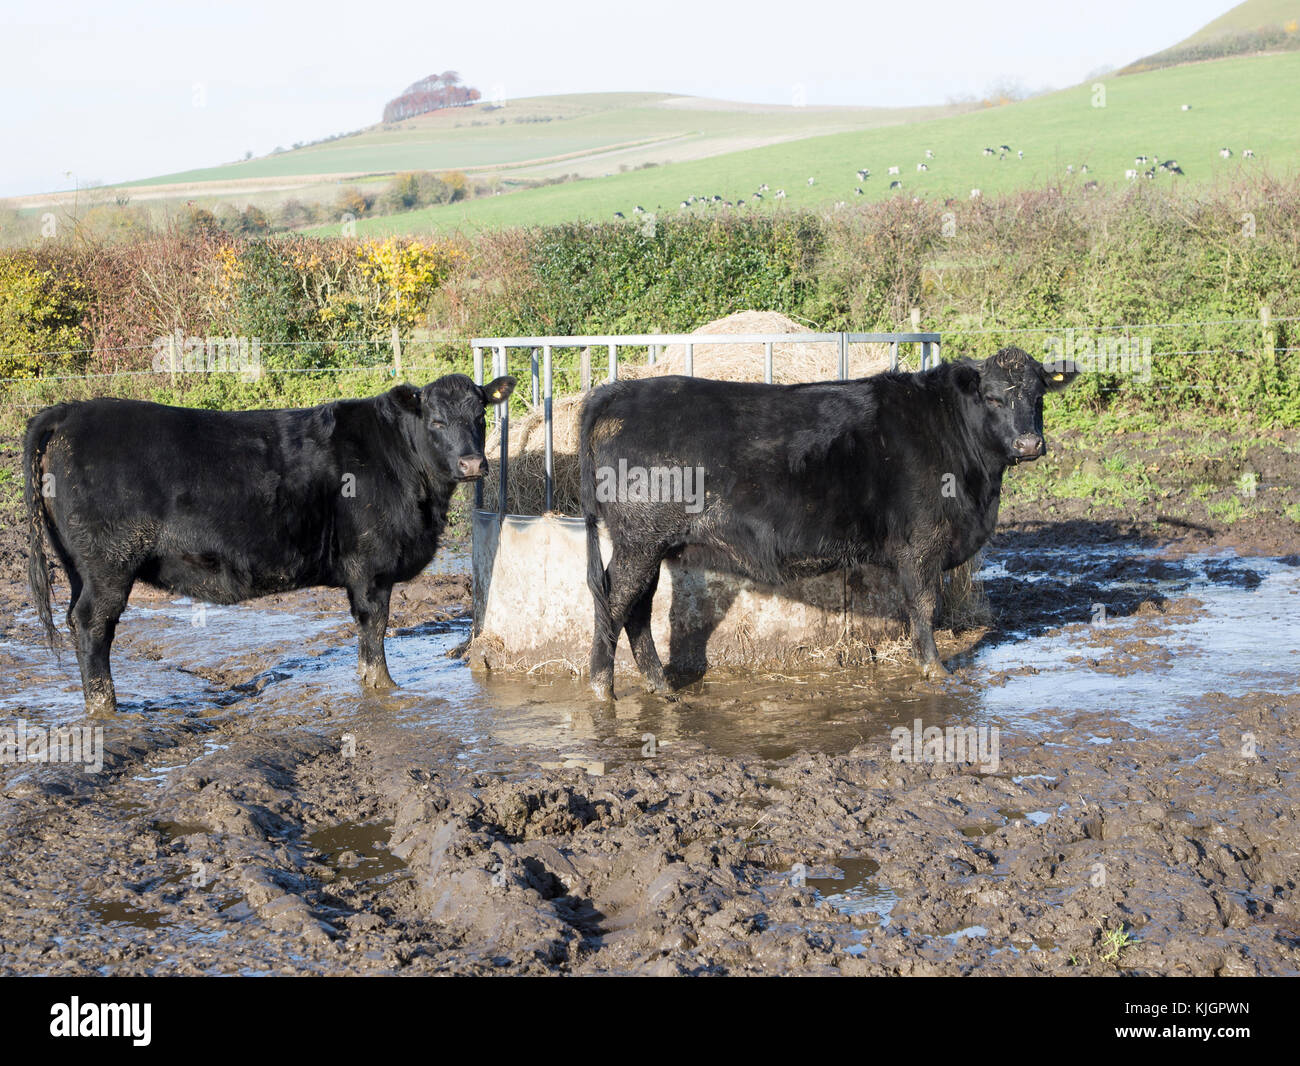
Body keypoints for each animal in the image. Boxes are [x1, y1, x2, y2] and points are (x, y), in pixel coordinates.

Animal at [25, 374, 512, 717]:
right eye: (436, 421)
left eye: (480, 417)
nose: (473, 463)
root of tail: (69, 411)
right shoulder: (370, 568)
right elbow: (374, 629)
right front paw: (384, 688)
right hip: (109, 564)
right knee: (93, 625)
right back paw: (105, 706)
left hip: (78, 566)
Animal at [579, 348, 1076, 702]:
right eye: (993, 397)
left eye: (1038, 397)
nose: (1029, 443)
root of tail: (619, 392)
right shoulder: (922, 543)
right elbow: (923, 605)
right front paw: (933, 668)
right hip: (640, 541)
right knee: (615, 601)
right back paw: (602, 688)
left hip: (650, 544)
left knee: (638, 608)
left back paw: (659, 685)